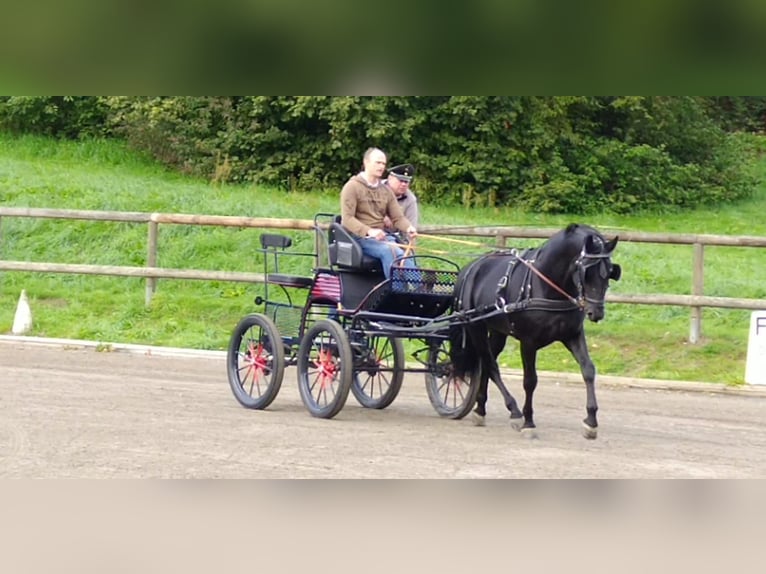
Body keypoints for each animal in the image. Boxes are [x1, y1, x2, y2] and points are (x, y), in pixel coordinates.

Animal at [452, 225, 620, 440]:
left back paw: (480, 409)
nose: (596, 312)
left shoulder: (572, 335)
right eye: (587, 272)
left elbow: (588, 370)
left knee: (487, 362)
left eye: (609, 272)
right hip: (476, 328)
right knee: (490, 365)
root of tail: (470, 268)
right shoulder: (528, 342)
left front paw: (591, 421)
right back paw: (514, 411)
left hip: (497, 331)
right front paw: (528, 422)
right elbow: (530, 381)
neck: (546, 286)